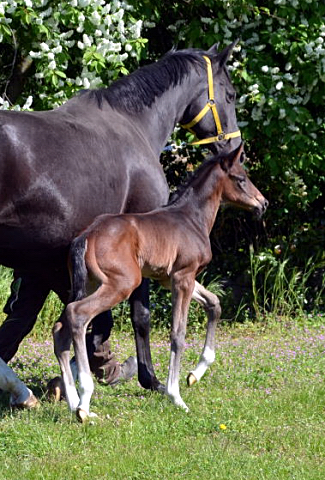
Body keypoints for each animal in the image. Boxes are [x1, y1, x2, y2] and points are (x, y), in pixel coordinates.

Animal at [53, 144, 266, 422]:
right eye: (241, 178)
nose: (263, 203)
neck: (191, 218)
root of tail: (88, 235)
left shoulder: (173, 279)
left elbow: (214, 304)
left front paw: (195, 375)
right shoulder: (184, 277)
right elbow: (178, 333)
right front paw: (176, 396)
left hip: (87, 283)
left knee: (60, 329)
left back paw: (72, 403)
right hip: (121, 284)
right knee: (77, 315)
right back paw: (84, 404)